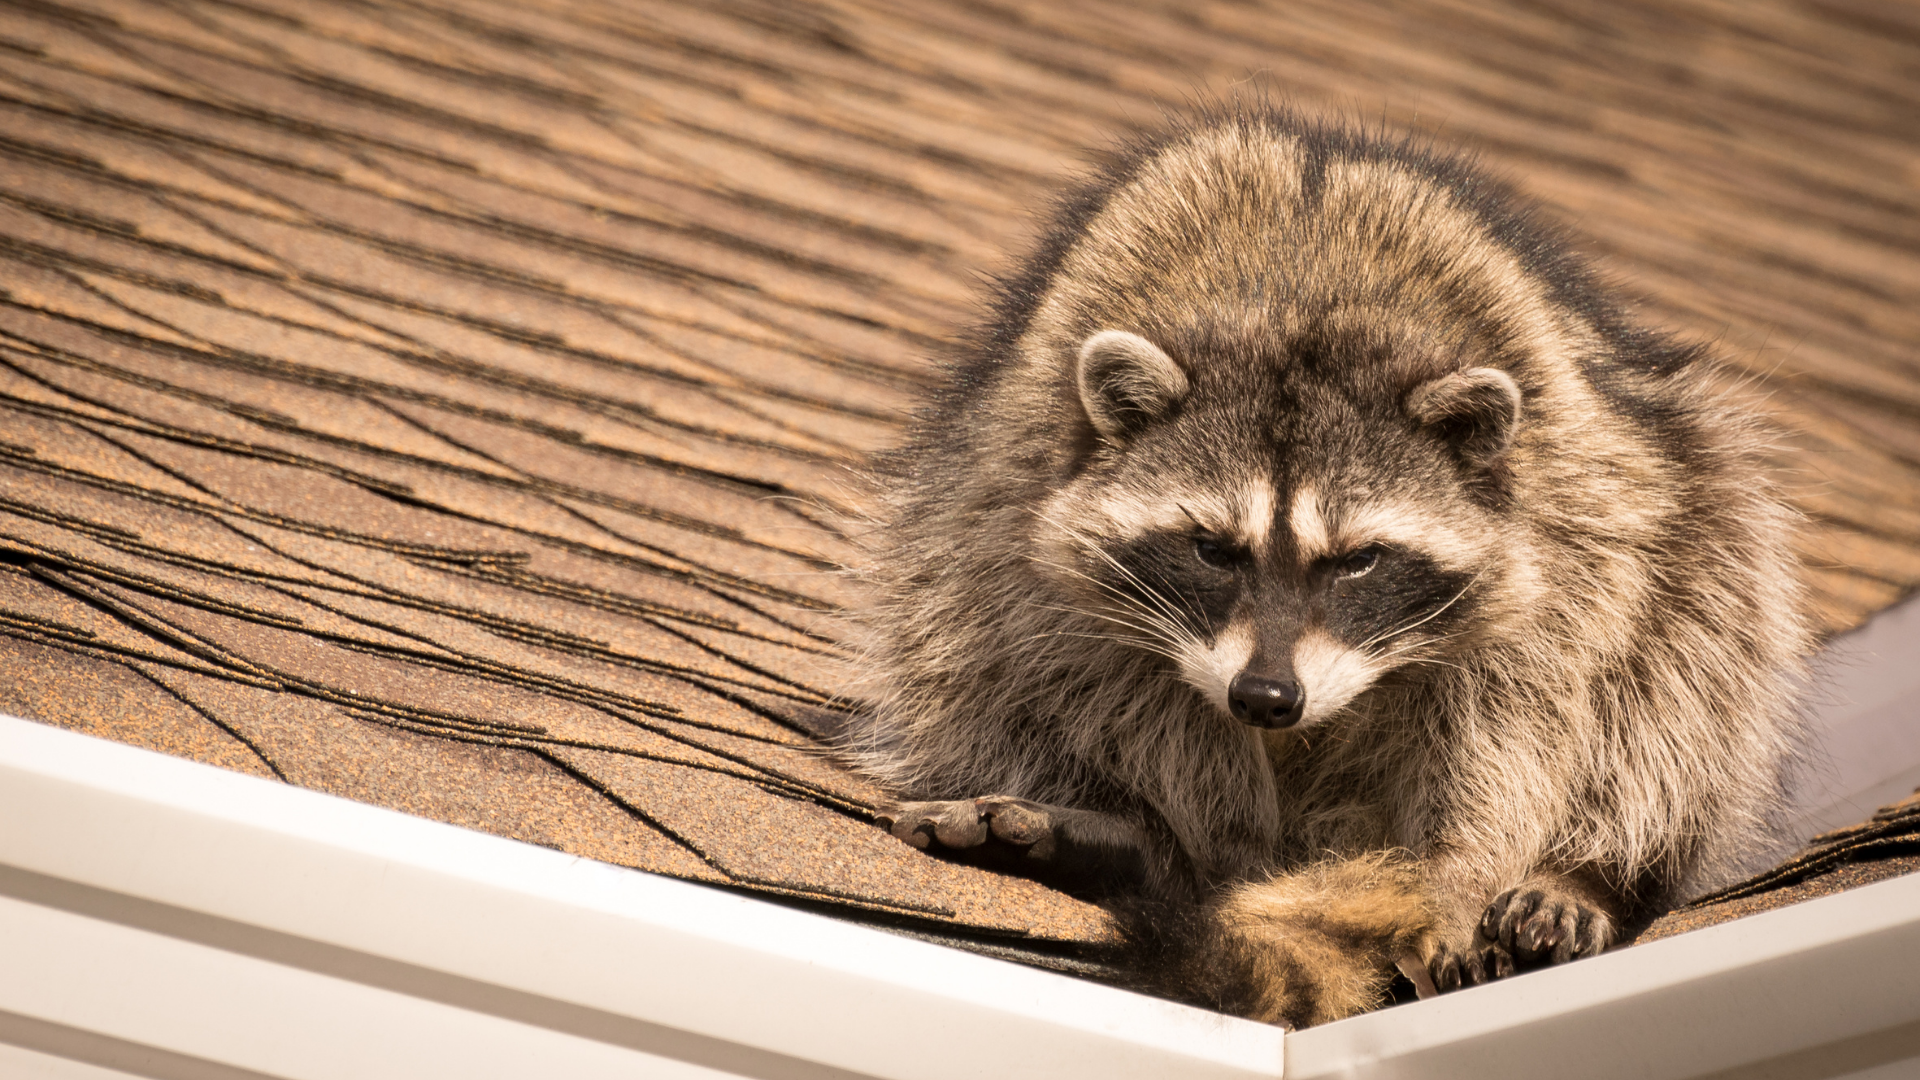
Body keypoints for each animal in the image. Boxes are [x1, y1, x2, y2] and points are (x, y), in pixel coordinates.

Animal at [841, 108, 1810, 1027]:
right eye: (1212, 549)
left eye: (1359, 562)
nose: (1267, 698)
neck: (1295, 312)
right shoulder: (1031, 510)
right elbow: (1105, 675)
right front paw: (1209, 842)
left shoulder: (1569, 532)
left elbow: (1522, 715)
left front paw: (1458, 876)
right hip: (958, 525)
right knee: (960, 635)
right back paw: (1138, 837)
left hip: (1687, 502)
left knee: (1692, 648)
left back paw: (1585, 874)